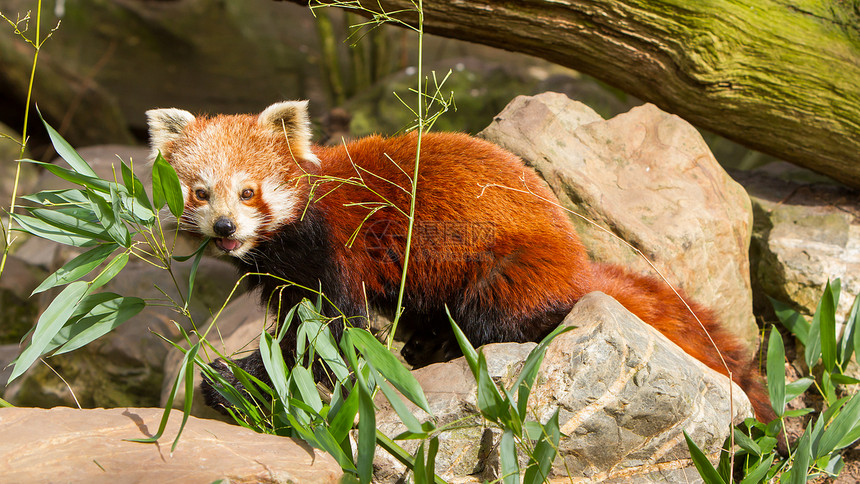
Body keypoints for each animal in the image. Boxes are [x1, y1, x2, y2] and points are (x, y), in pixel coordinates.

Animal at [146, 100, 772, 422]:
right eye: (201, 192)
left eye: (248, 192)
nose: (225, 228)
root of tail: (578, 258)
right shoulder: (281, 272)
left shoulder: (330, 252)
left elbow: (330, 330)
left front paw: (243, 376)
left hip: (507, 266)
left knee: (494, 317)